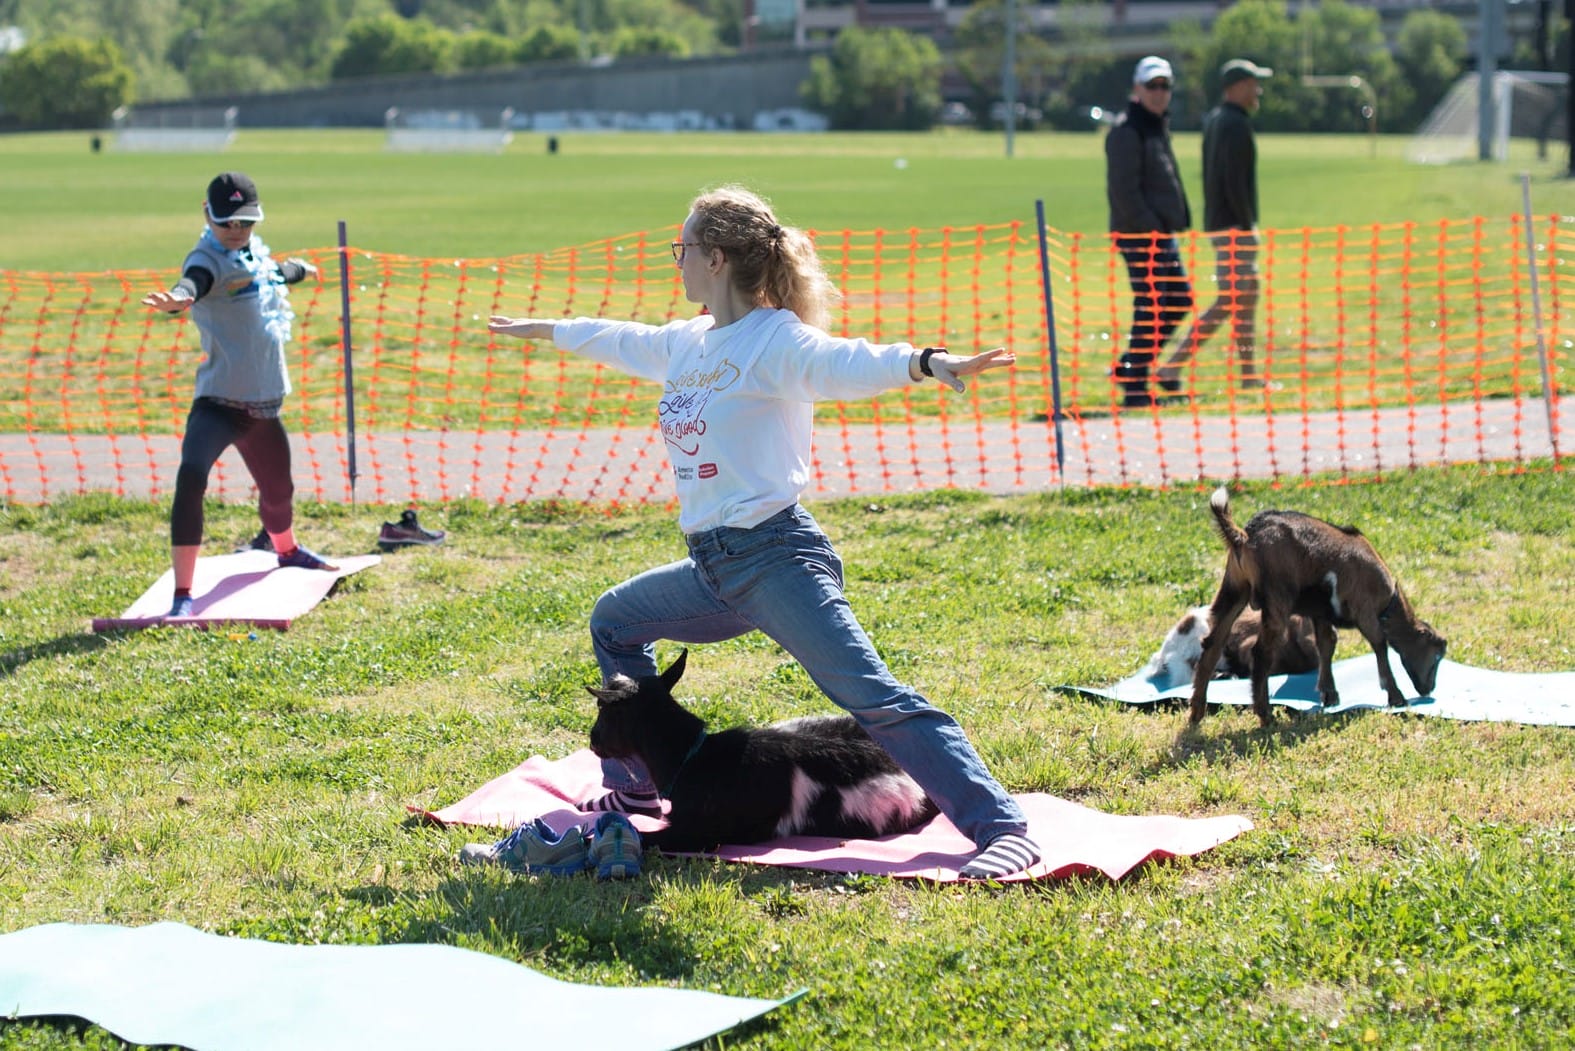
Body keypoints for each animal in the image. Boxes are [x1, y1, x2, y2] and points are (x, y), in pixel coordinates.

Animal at [1184, 488, 1442, 724]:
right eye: (1438, 655)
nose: (1428, 689)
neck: (1388, 600)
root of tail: (1244, 536)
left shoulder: (1321, 612)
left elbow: (1327, 644)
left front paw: (1329, 695)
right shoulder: (1364, 608)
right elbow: (1379, 643)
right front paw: (1396, 697)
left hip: (1234, 589)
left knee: (1212, 644)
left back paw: (1196, 713)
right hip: (1277, 598)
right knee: (1261, 653)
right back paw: (1265, 715)